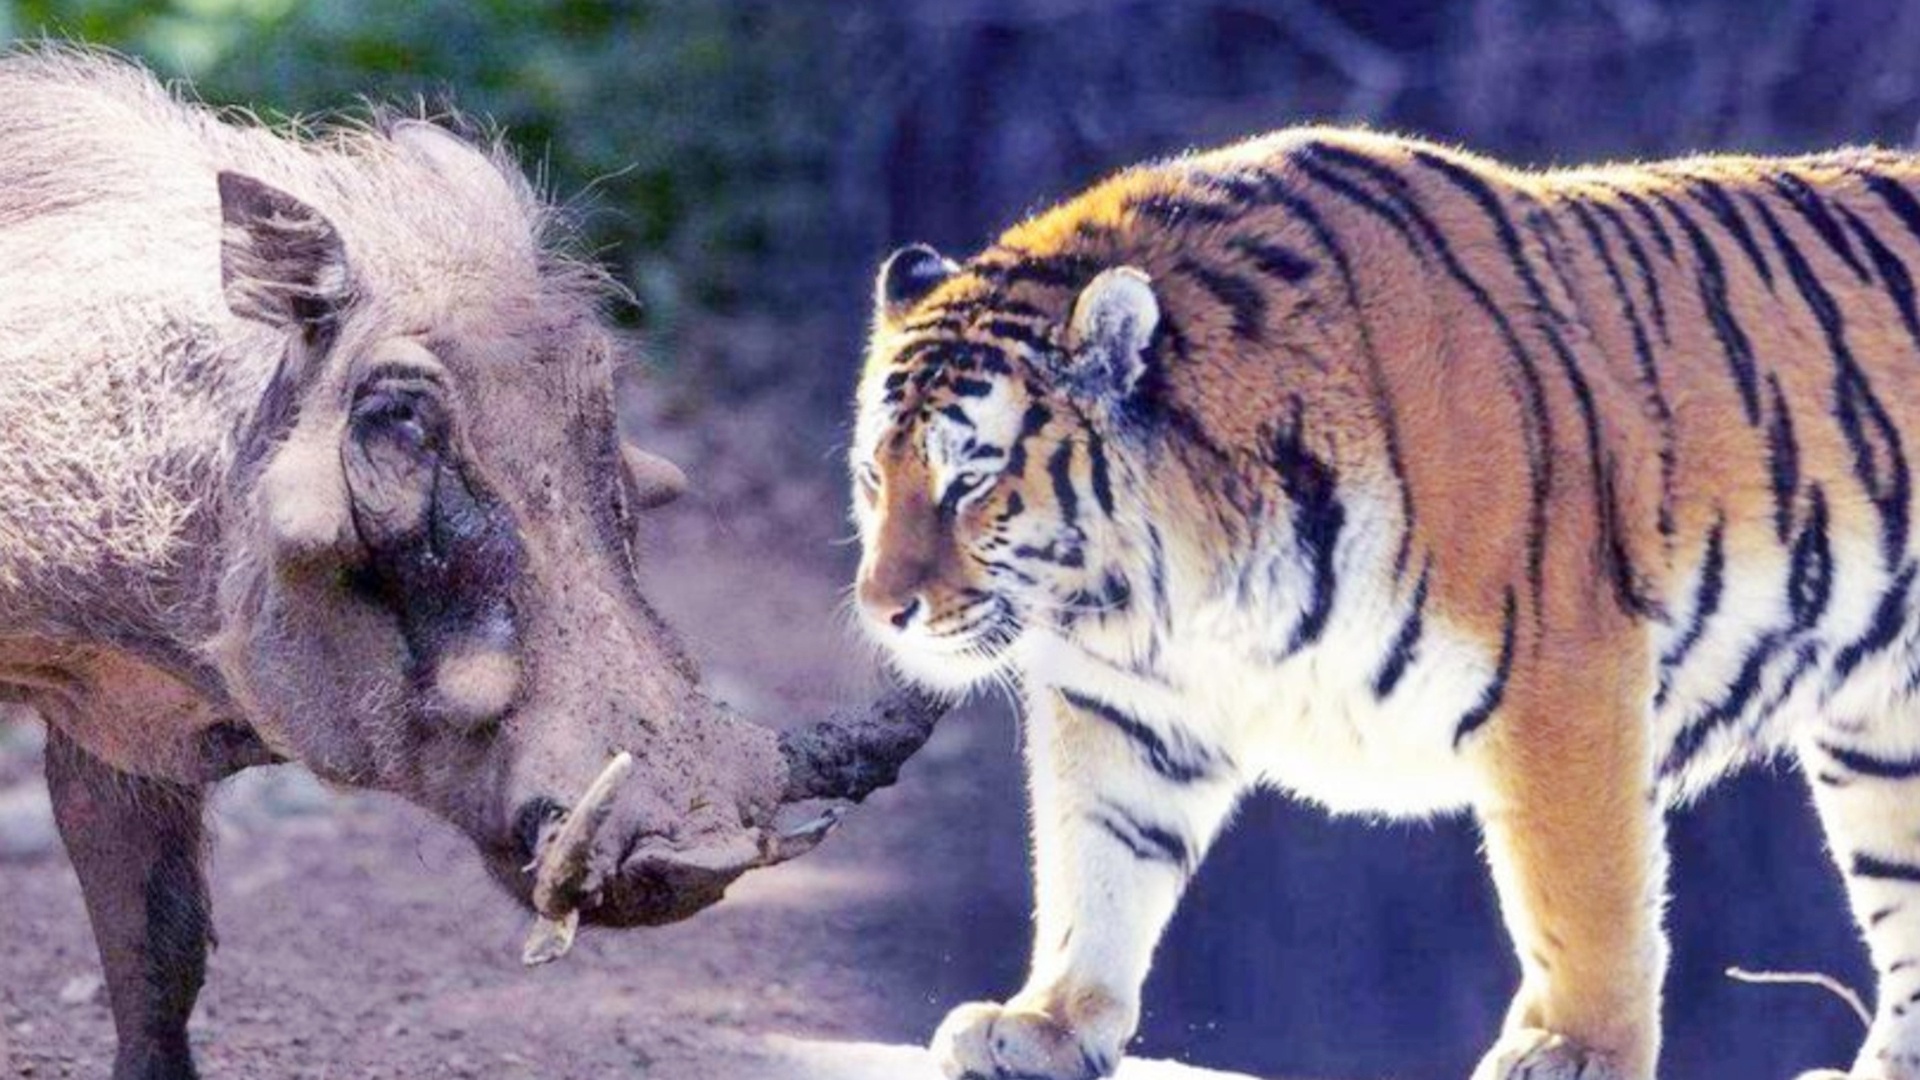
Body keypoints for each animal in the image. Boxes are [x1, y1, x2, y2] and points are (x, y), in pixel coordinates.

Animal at [848, 125, 1920, 1080]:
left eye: (969, 482)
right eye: (874, 476)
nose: (882, 609)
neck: (1168, 590)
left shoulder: (1565, 679)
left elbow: (1583, 898)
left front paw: (1576, 1051)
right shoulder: (1126, 702)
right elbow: (1096, 858)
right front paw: (1050, 1024)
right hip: (1883, 744)